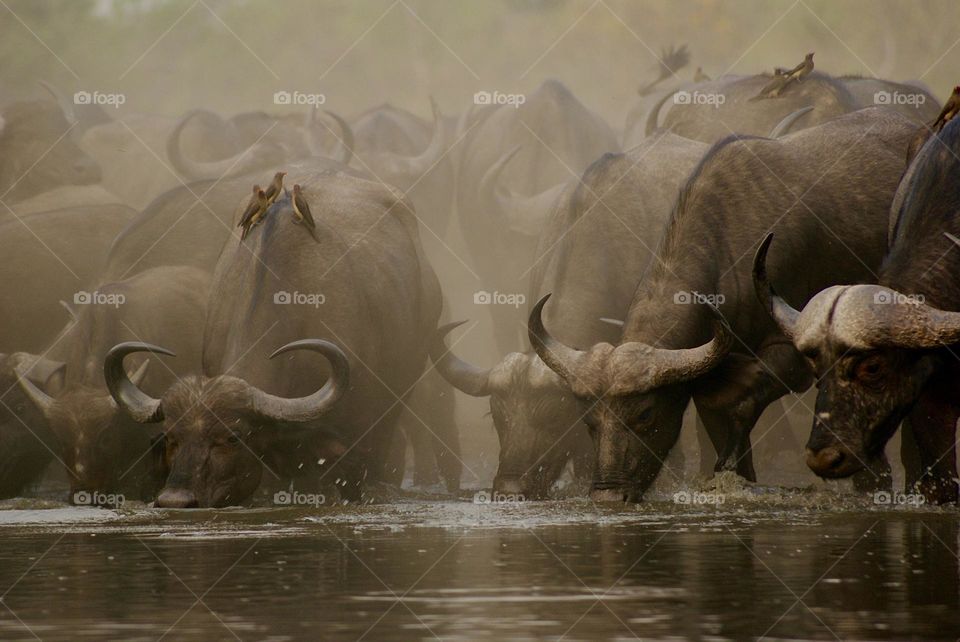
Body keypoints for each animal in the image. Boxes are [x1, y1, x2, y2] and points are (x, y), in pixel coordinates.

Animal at [532, 107, 916, 500]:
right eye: (589, 421)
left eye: (645, 414)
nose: (608, 495)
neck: (728, 248)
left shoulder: (789, 352)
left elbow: (738, 400)